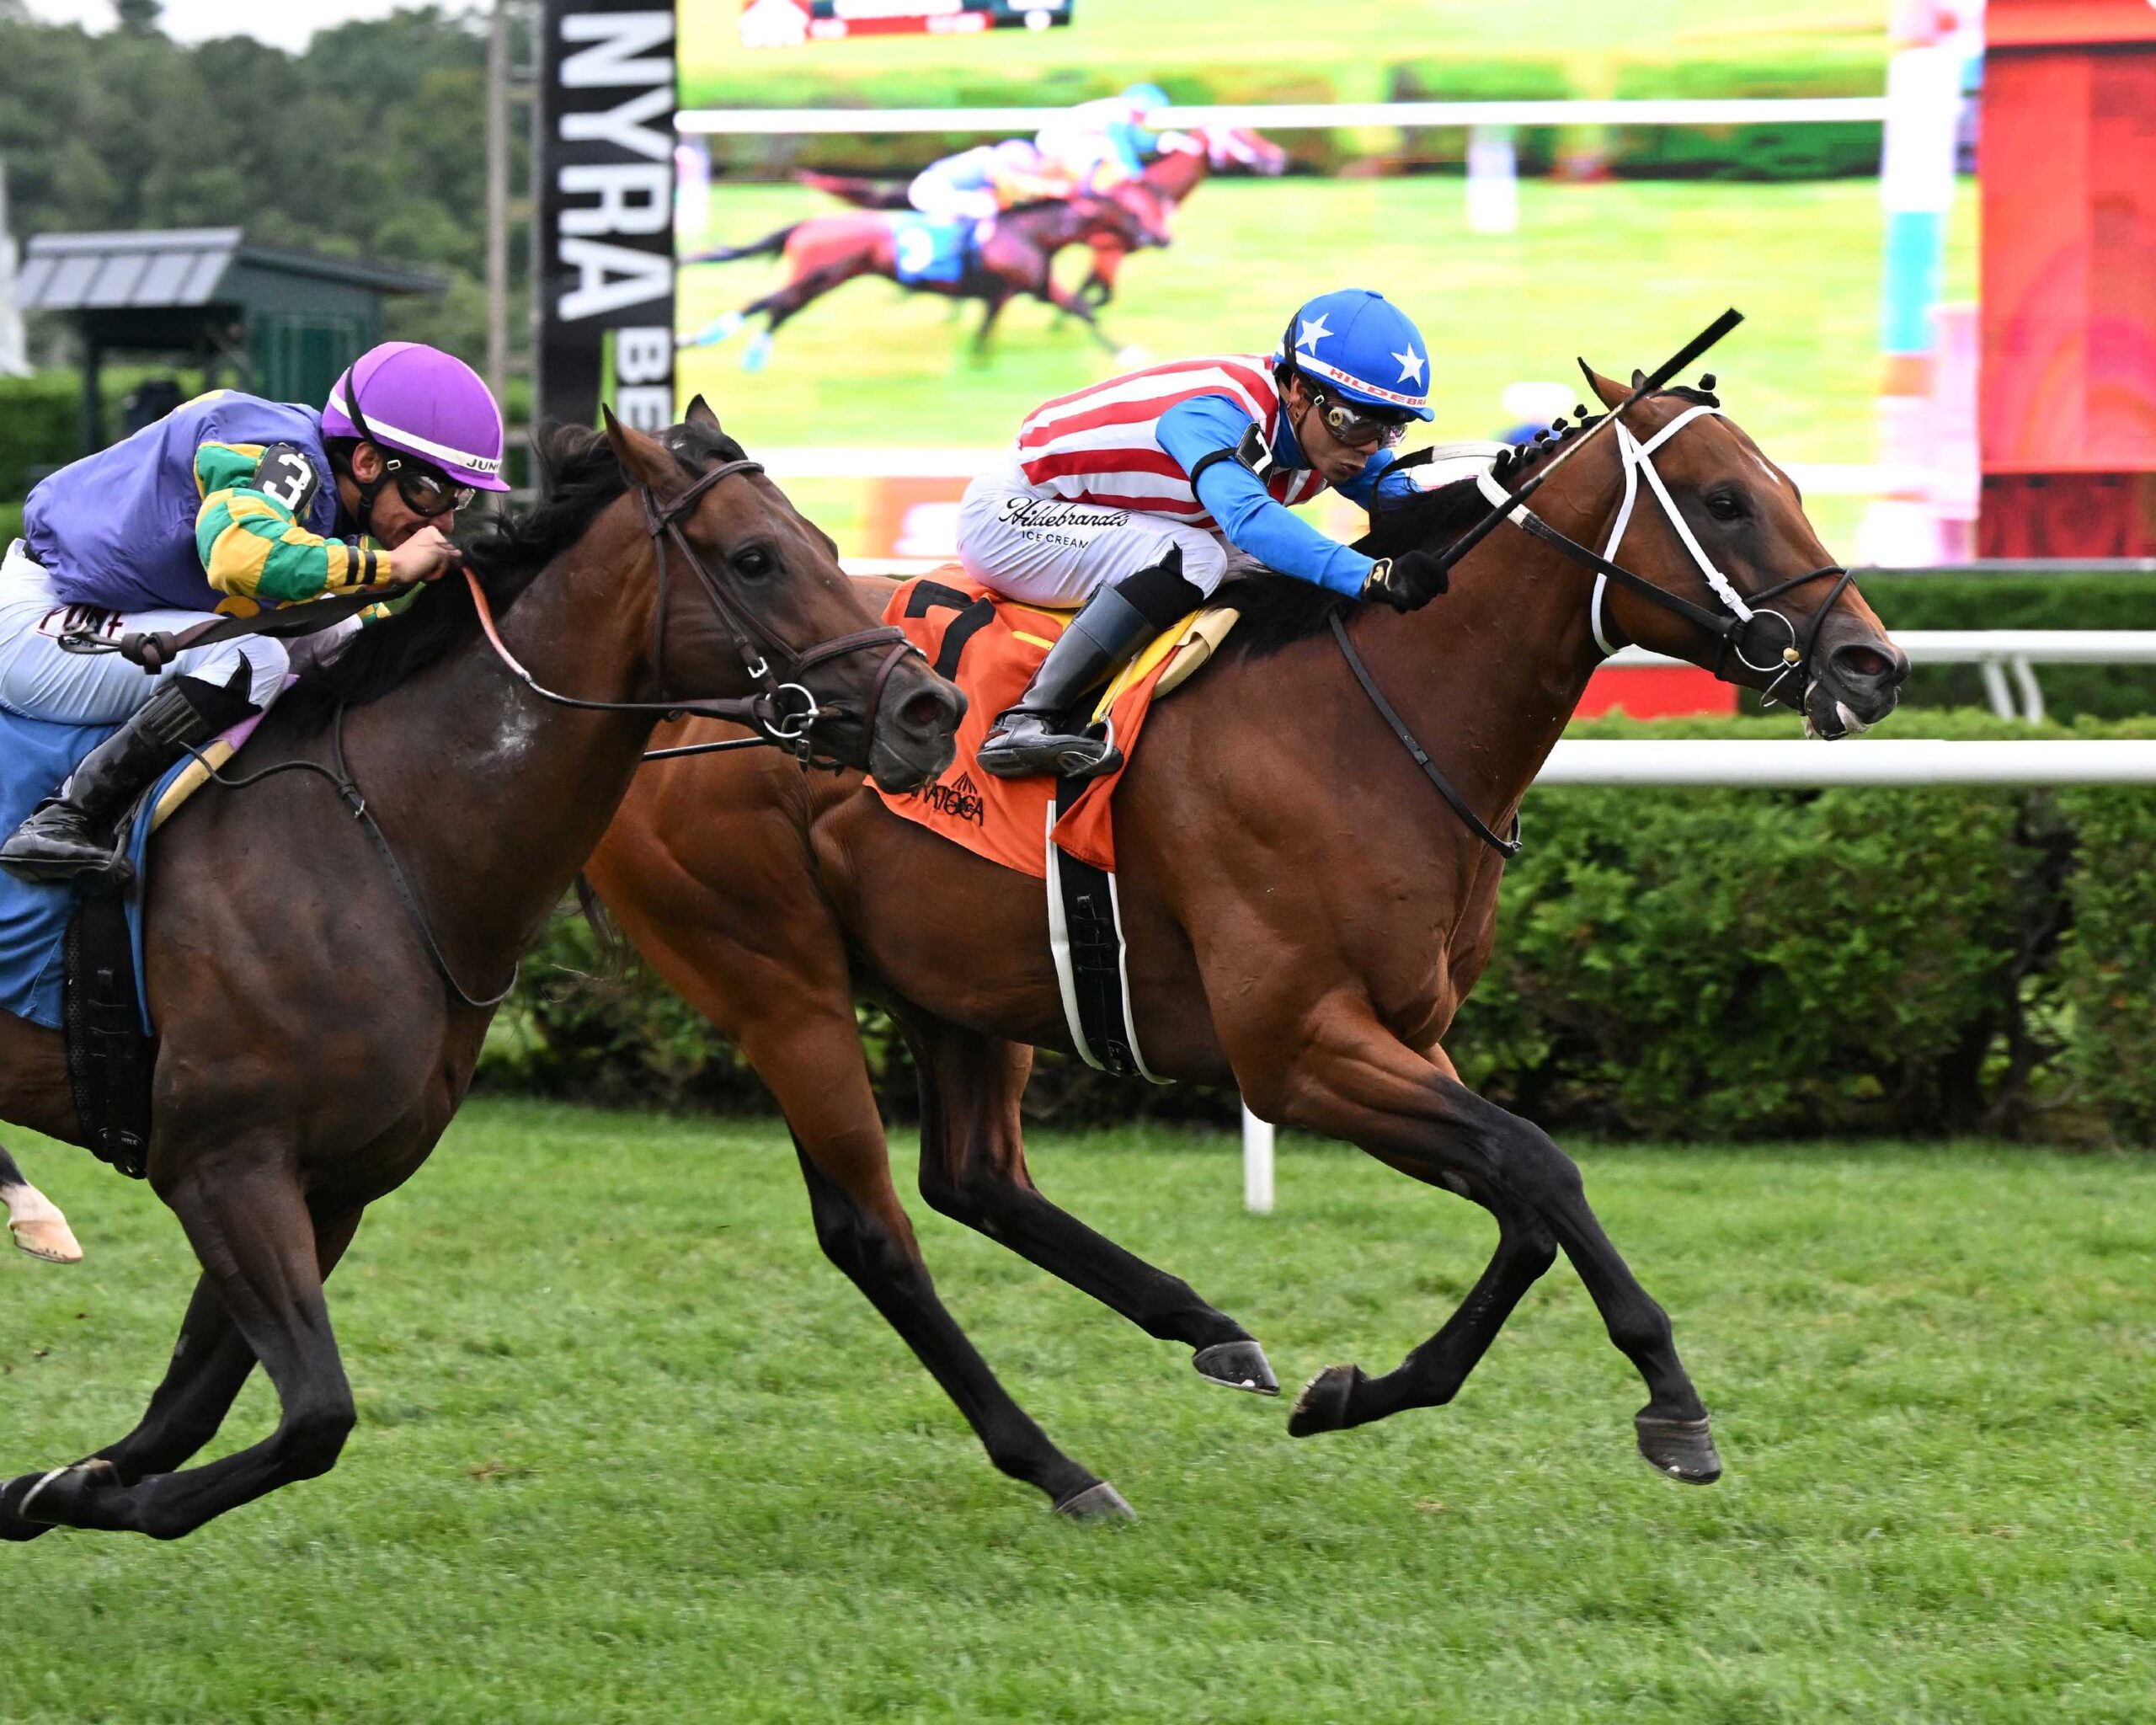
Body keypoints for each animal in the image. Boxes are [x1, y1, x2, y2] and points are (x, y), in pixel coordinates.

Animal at [0, 402, 964, 1541]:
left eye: (822, 539)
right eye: (756, 558)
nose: (931, 709)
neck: (374, 838)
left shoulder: (331, 1181)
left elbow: (190, 1410)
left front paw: (56, 1486)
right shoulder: (221, 1163)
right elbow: (314, 1415)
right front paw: (89, 1494)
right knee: (235, 656)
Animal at [576, 369, 1910, 1517]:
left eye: (1791, 485)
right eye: (1726, 500)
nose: (1873, 662)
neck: (1367, 722)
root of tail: (661, 703)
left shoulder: (1404, 1034)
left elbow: (1527, 1201)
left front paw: (1357, 1392)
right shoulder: (1295, 1048)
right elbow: (1543, 1168)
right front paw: (1672, 1402)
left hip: (956, 980)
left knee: (975, 1177)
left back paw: (1206, 1328)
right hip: (778, 981)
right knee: (871, 1227)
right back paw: (1058, 1464)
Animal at [679, 194, 1168, 368]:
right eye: (1130, 211)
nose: (1158, 237)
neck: (1026, 233)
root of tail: (809, 222)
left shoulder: (1021, 289)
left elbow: (1077, 309)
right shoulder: (1016, 289)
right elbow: (1075, 311)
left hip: (823, 280)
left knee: (779, 308)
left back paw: (752, 355)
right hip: (822, 274)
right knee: (767, 302)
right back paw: (699, 341)